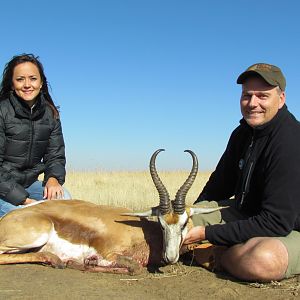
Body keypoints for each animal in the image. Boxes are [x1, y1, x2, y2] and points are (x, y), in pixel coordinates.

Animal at [0, 149, 220, 274]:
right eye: (161, 224)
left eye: (184, 224)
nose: (170, 257)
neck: (142, 234)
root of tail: (7, 219)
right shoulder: (109, 255)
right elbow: (135, 268)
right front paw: (84, 263)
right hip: (37, 235)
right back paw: (57, 261)